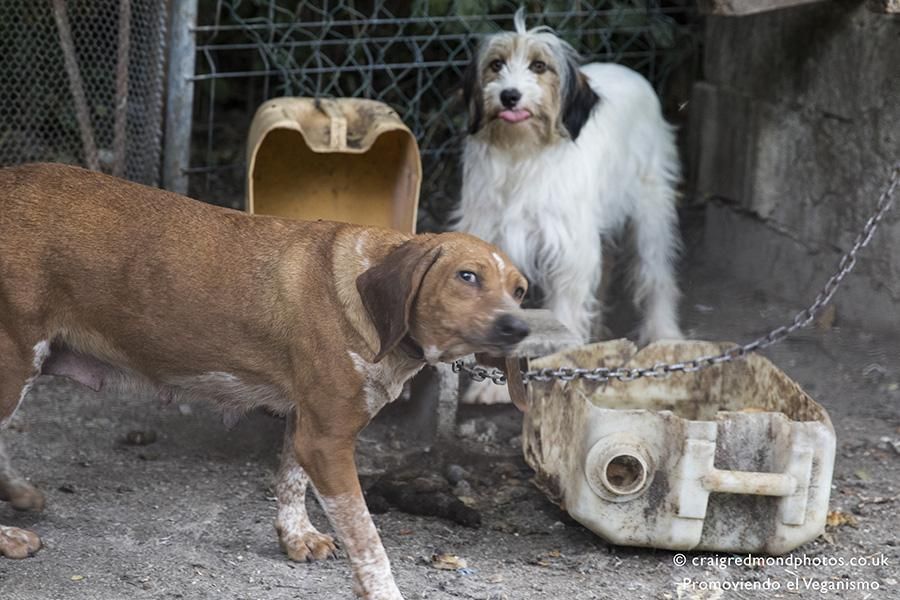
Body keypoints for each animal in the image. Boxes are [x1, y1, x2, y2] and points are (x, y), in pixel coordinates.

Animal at [0, 162, 528, 596]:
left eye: (520, 290)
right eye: (467, 276)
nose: (519, 327)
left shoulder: (307, 423)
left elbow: (291, 478)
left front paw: (297, 537)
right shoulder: (328, 440)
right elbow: (368, 539)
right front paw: (383, 591)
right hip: (13, 364)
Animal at [458, 10, 684, 404]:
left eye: (539, 66)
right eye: (496, 64)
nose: (509, 95)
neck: (521, 156)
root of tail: (629, 70)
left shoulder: (569, 250)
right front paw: (489, 384)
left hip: (650, 212)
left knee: (656, 274)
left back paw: (664, 333)